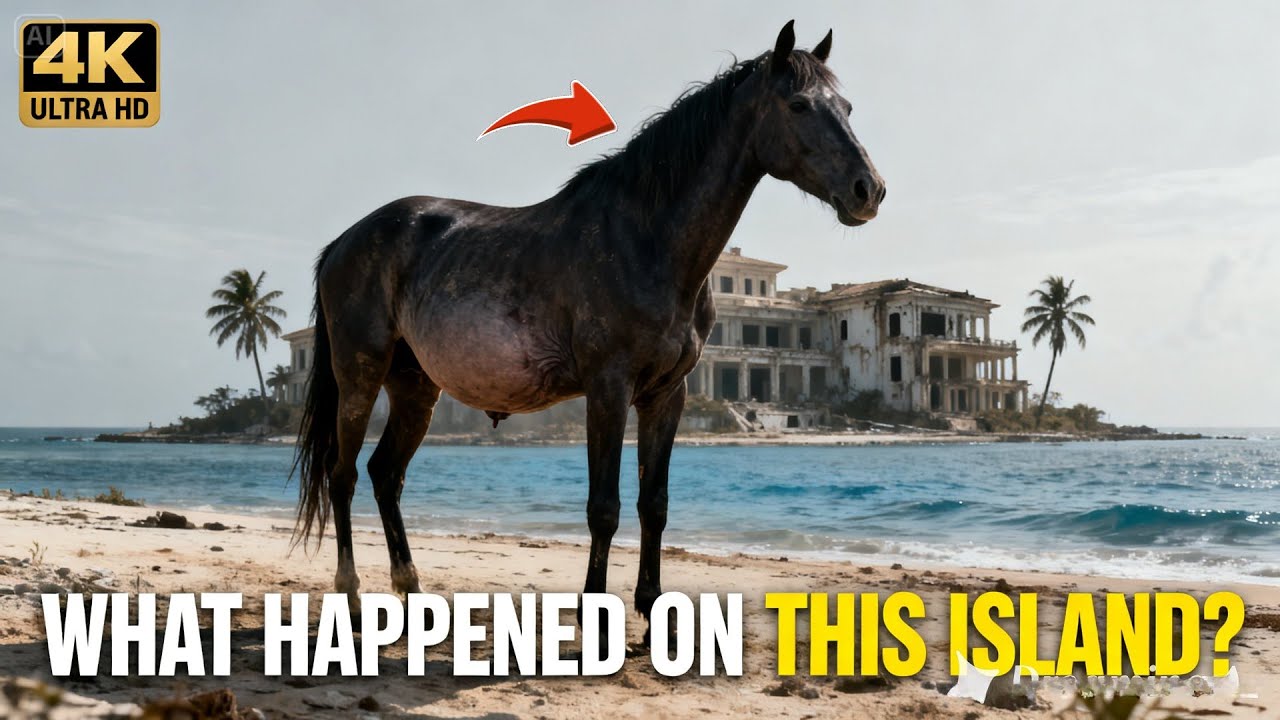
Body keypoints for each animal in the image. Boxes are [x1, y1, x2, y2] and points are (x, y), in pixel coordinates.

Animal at [293, 20, 884, 639]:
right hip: (360, 375)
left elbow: (654, 503)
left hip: (415, 388)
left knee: (385, 475)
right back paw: (350, 598)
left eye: (845, 106)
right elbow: (604, 507)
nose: (869, 190)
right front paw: (598, 620)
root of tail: (345, 241)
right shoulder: (608, 388)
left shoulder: (666, 396)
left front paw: (654, 612)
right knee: (342, 476)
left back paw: (412, 593)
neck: (648, 240)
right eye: (798, 104)